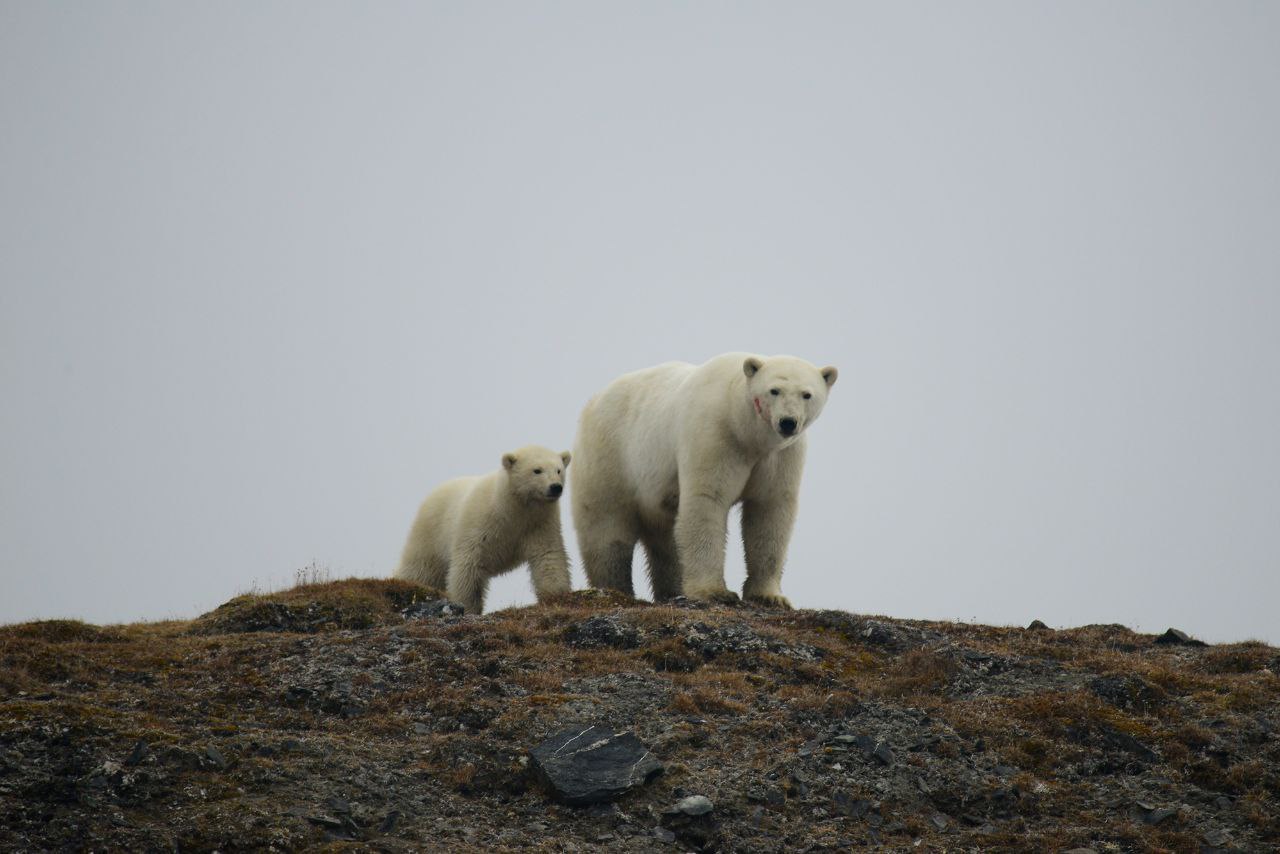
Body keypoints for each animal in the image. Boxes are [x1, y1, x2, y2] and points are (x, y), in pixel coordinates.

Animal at [396, 448, 573, 614]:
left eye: (558, 470)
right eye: (537, 470)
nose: (556, 487)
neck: (509, 507)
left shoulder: (538, 524)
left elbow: (548, 555)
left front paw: (555, 595)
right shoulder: (479, 524)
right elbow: (468, 565)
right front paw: (467, 606)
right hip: (429, 534)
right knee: (420, 569)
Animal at [573, 353, 839, 606]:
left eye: (807, 394)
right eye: (774, 390)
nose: (788, 422)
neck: (746, 430)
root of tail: (593, 401)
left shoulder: (781, 455)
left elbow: (769, 512)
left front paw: (770, 596)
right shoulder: (716, 434)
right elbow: (707, 500)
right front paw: (714, 592)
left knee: (666, 541)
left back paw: (672, 589)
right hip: (611, 455)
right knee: (607, 529)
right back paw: (614, 588)